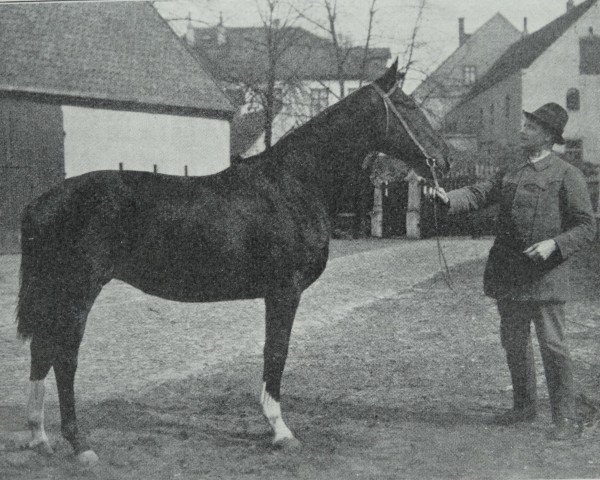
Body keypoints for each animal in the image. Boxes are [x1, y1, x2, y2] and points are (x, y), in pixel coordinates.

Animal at [15, 60, 450, 464]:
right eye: (409, 106)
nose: (443, 161)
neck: (294, 184)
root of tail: (41, 203)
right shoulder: (284, 291)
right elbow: (276, 352)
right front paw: (280, 431)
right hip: (78, 290)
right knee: (64, 356)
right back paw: (79, 444)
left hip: (56, 291)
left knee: (41, 351)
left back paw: (40, 437)